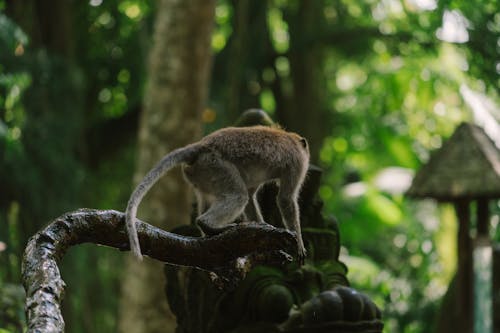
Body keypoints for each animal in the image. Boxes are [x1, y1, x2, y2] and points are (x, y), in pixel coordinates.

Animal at [126, 124, 308, 262]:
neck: (291, 138)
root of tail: (201, 145)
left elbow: (251, 197)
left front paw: (263, 230)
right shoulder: (297, 162)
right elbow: (285, 199)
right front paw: (298, 243)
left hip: (201, 172)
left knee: (215, 197)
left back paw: (206, 233)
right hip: (216, 165)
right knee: (238, 196)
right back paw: (208, 225)